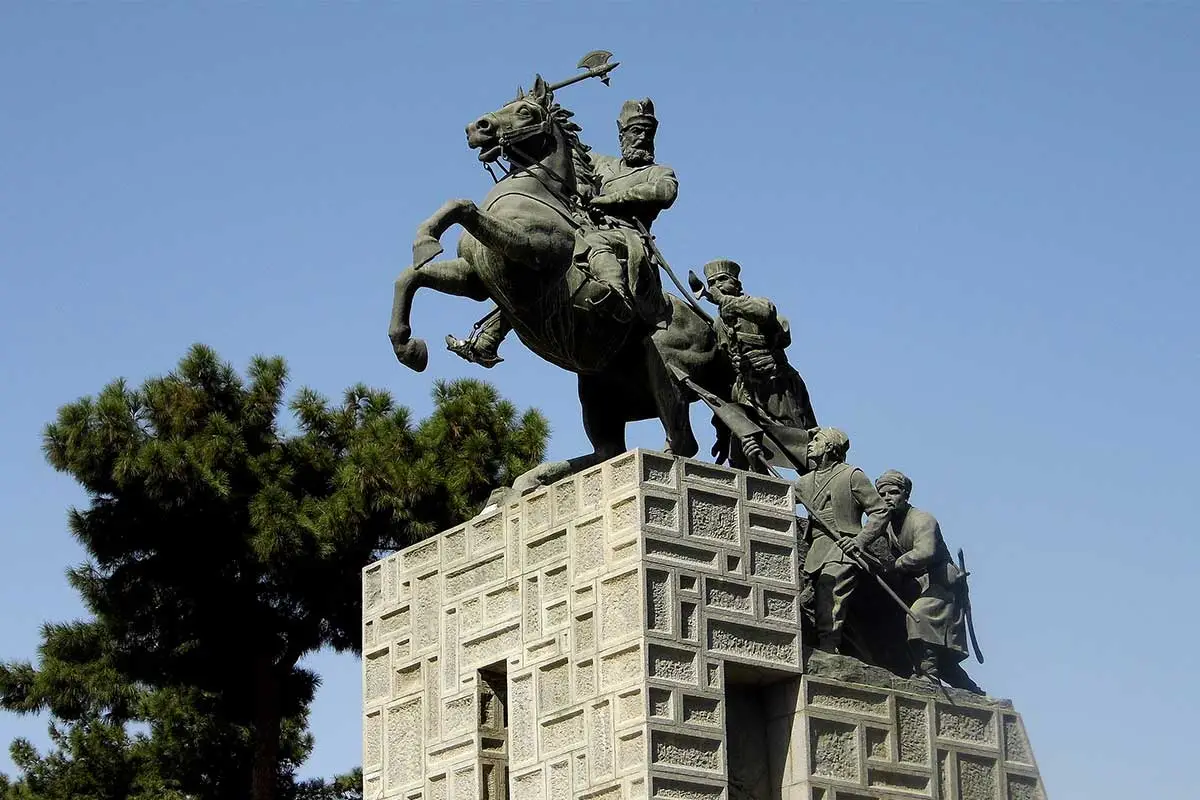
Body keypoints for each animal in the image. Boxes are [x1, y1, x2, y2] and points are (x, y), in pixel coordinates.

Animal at [388, 76, 724, 489]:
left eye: (525, 111)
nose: (477, 127)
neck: (532, 194)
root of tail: (713, 330)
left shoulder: (529, 249)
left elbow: (462, 206)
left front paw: (426, 239)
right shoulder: (475, 279)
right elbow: (411, 275)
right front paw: (409, 348)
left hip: (666, 370)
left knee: (681, 444)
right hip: (596, 391)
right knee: (607, 450)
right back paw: (535, 477)